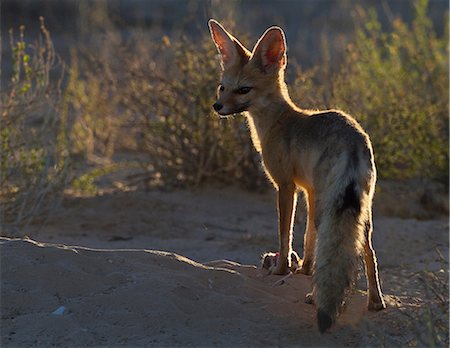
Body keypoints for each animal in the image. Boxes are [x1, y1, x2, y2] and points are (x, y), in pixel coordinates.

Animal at [207, 19, 386, 334]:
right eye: (222, 87)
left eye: (244, 89)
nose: (218, 106)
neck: (278, 122)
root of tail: (353, 141)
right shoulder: (309, 191)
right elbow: (308, 238)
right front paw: (304, 268)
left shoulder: (285, 186)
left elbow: (285, 233)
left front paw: (282, 269)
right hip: (359, 211)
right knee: (367, 252)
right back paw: (375, 302)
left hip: (331, 206)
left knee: (337, 246)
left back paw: (316, 298)